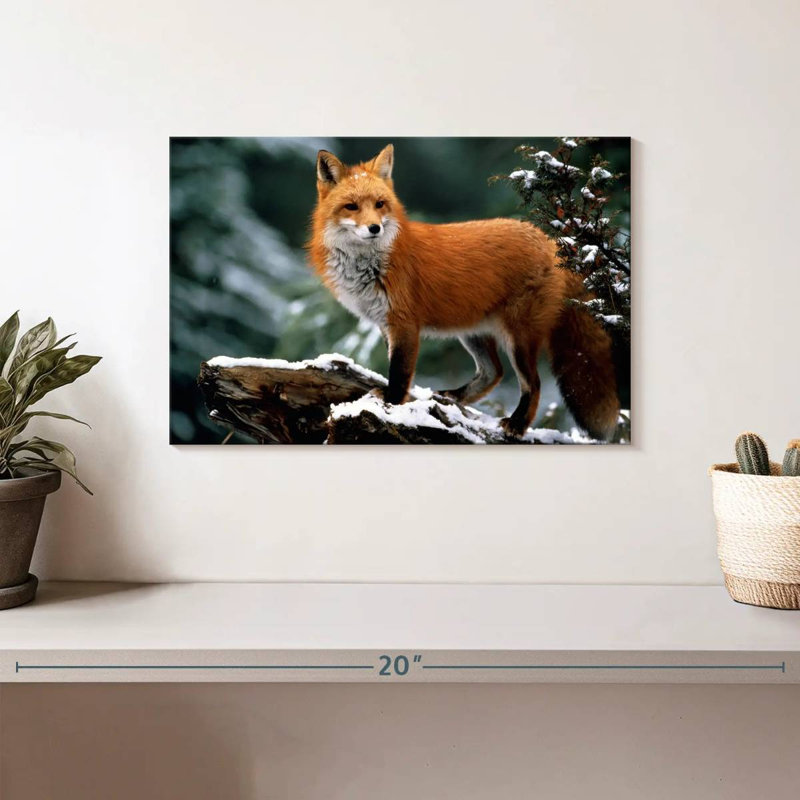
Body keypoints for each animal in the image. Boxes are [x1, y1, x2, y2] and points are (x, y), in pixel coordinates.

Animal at [308, 144, 619, 440]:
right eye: (351, 206)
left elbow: (399, 372)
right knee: (493, 372)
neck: (370, 265)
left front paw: (392, 405)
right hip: (473, 332)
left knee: (533, 383)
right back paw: (454, 398)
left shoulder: (404, 323)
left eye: (379, 204)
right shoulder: (385, 324)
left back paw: (517, 424)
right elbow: (395, 368)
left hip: (518, 337)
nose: (374, 228)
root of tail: (551, 241)